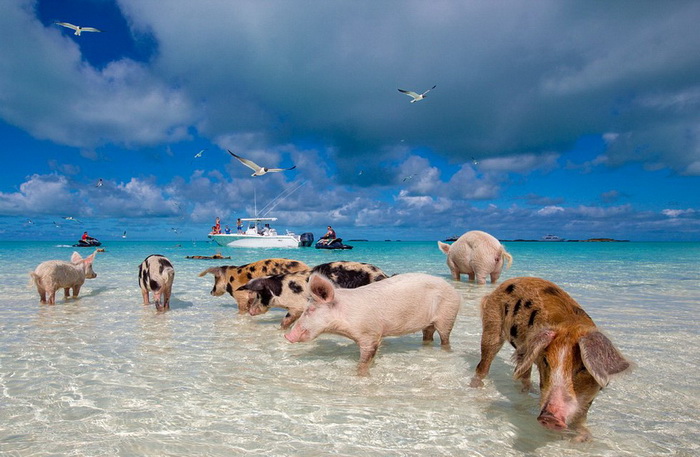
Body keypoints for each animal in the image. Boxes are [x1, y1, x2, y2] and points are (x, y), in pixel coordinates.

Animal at [238, 260, 386, 328]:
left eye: (259, 294)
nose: (250, 311)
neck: (282, 290)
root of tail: (383, 275)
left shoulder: (297, 306)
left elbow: (286, 320)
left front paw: (280, 329)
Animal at [284, 272, 460, 376]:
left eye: (310, 309)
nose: (287, 336)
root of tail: (451, 287)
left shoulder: (370, 334)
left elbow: (364, 360)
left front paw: (360, 376)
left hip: (448, 314)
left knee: (445, 338)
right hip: (429, 323)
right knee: (428, 334)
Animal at [470, 276, 628, 440]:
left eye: (583, 368)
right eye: (546, 361)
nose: (550, 418)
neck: (571, 326)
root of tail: (497, 289)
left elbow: (583, 414)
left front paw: (583, 439)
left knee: (523, 373)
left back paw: (528, 391)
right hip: (492, 326)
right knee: (483, 364)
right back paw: (476, 388)